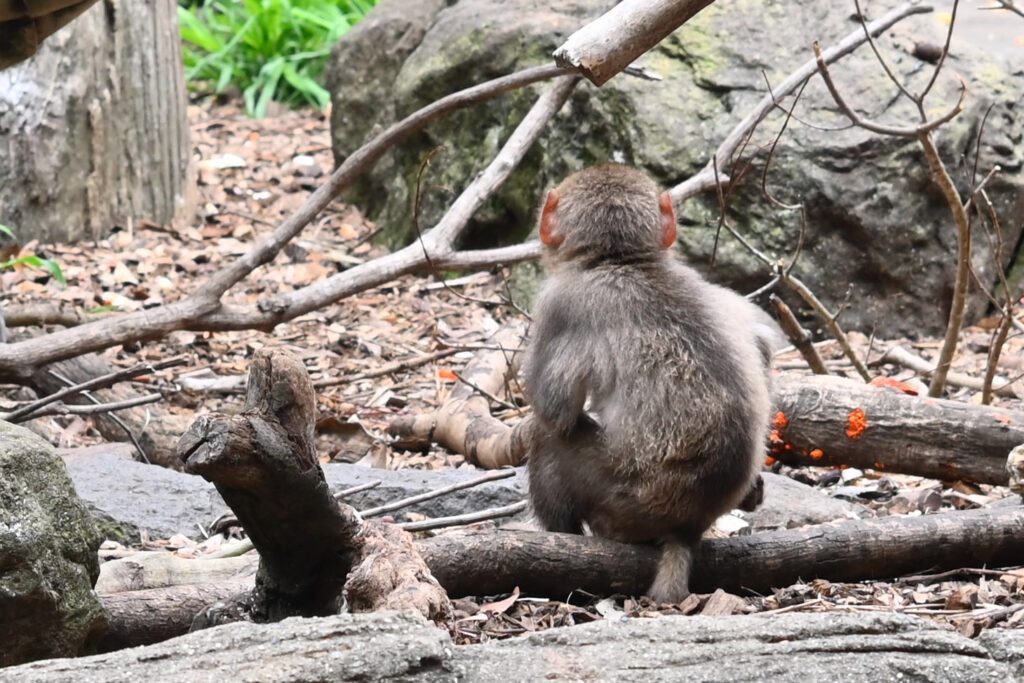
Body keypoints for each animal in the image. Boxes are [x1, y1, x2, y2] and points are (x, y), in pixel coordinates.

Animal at [522, 163, 779, 603]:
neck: (622, 260)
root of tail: (687, 525)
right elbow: (760, 343)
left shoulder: (560, 303)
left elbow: (554, 411)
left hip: (620, 504)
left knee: (551, 439)